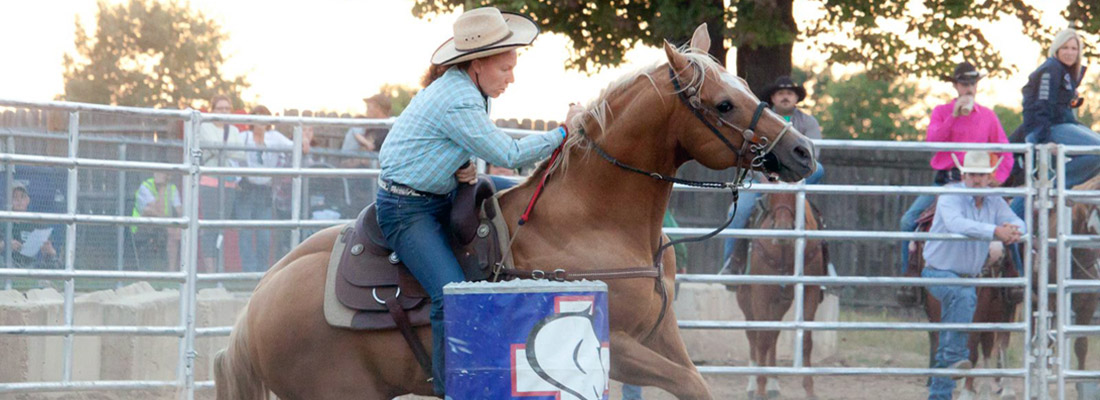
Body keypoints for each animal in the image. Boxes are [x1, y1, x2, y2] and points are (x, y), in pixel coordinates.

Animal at [214, 25, 818, 400]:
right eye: (723, 103)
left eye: (746, 87)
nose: (802, 153)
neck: (594, 220)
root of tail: (254, 309)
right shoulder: (620, 346)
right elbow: (691, 385)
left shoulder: (660, 335)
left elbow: (696, 383)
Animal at [739, 190, 827, 400]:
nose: (782, 230)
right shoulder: (761, 292)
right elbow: (761, 340)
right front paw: (759, 389)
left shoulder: (810, 291)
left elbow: (806, 340)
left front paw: (809, 389)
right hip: (746, 299)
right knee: (753, 334)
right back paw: (752, 384)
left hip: (780, 303)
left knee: (774, 334)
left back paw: (773, 384)